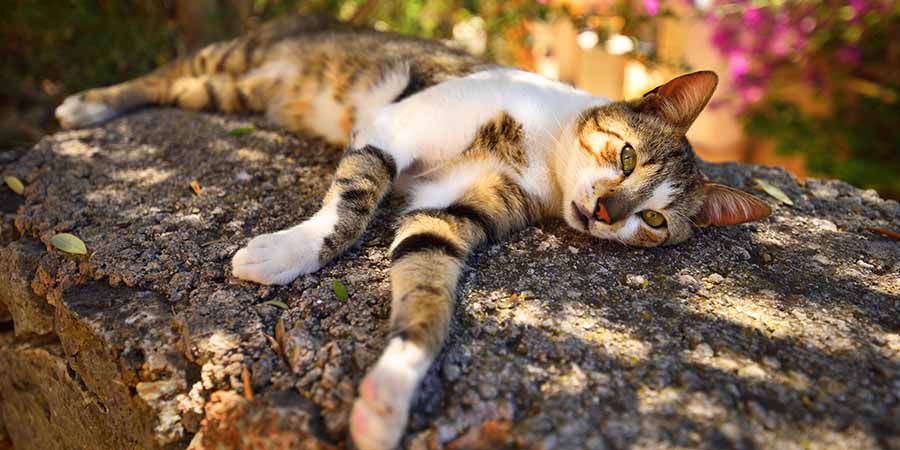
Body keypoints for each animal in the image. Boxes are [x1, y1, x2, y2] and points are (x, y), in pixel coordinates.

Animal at [56, 14, 768, 450]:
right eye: (625, 157)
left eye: (655, 219)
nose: (606, 213)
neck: (542, 156)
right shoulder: (394, 125)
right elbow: (351, 204)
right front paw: (284, 254)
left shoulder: (447, 217)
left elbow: (426, 294)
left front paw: (387, 399)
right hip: (236, 56)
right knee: (165, 73)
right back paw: (87, 104)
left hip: (231, 93)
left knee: (186, 87)